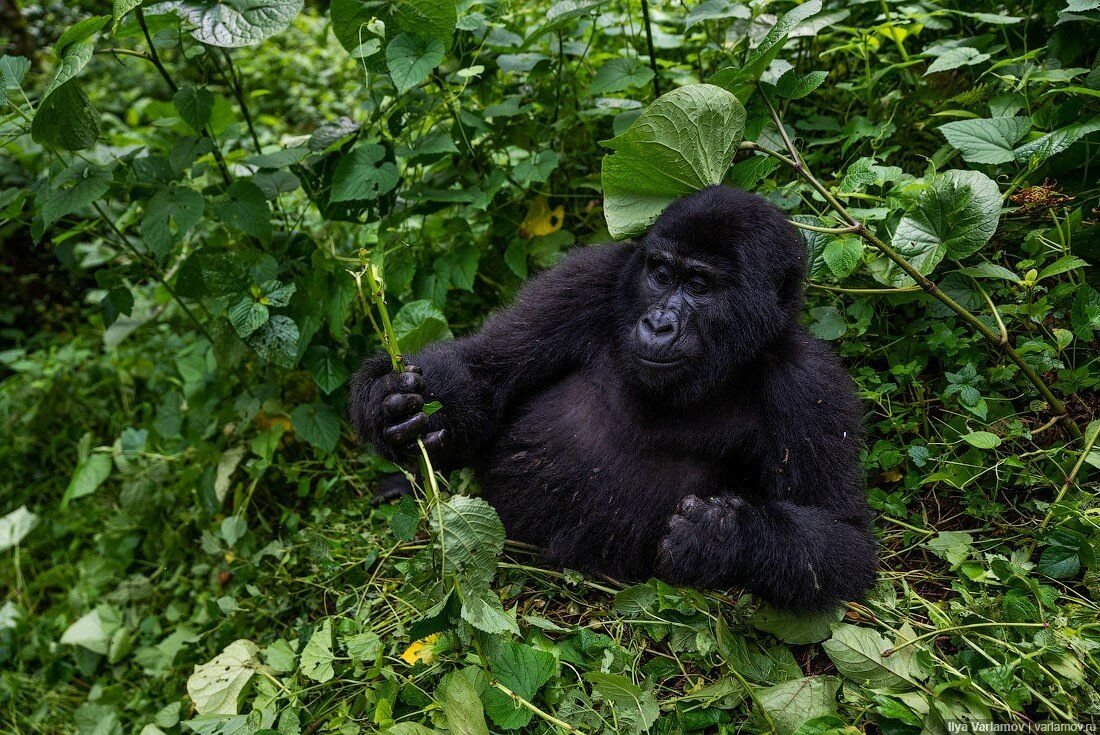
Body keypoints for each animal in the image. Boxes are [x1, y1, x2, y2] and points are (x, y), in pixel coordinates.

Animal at [349, 187, 875, 611]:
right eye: (660, 274)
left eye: (699, 285)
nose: (659, 324)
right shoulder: (591, 276)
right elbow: (484, 372)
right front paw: (389, 400)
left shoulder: (809, 383)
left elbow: (846, 540)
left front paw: (724, 537)